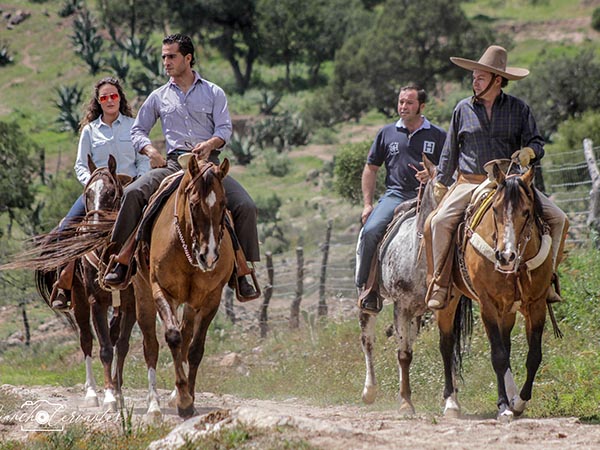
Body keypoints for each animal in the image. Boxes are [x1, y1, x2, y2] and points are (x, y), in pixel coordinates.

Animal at [134, 155, 234, 418]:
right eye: (194, 204)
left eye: (223, 204)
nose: (209, 256)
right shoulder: (161, 290)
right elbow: (172, 336)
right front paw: (183, 399)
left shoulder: (211, 298)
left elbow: (195, 348)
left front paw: (188, 398)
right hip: (143, 294)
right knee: (151, 345)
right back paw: (154, 406)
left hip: (191, 302)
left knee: (187, 335)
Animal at [434, 162, 560, 422]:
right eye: (495, 209)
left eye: (526, 211)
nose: (505, 256)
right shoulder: (488, 305)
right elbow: (498, 356)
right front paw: (503, 406)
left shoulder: (536, 304)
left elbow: (533, 356)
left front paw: (519, 402)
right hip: (449, 301)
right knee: (446, 344)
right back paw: (451, 403)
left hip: (508, 311)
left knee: (505, 343)